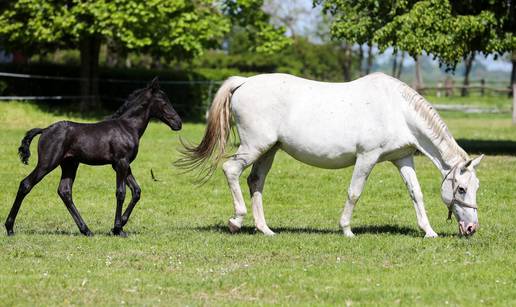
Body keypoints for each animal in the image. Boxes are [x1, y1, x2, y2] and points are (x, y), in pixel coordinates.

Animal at [4, 78, 180, 237]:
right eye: (164, 102)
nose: (178, 123)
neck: (128, 127)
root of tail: (45, 129)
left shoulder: (123, 164)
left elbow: (136, 191)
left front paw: (119, 226)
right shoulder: (121, 163)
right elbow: (121, 192)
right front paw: (118, 229)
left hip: (69, 164)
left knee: (64, 191)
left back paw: (86, 230)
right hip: (47, 163)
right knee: (26, 184)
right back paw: (9, 228)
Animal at [178, 73, 484, 238]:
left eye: (475, 187)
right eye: (461, 188)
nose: (471, 228)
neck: (397, 109)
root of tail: (244, 83)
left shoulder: (402, 158)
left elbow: (416, 194)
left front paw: (428, 231)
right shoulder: (367, 157)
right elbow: (354, 192)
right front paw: (347, 229)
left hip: (269, 150)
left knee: (255, 182)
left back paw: (264, 229)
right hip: (254, 146)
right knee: (231, 170)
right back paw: (236, 221)